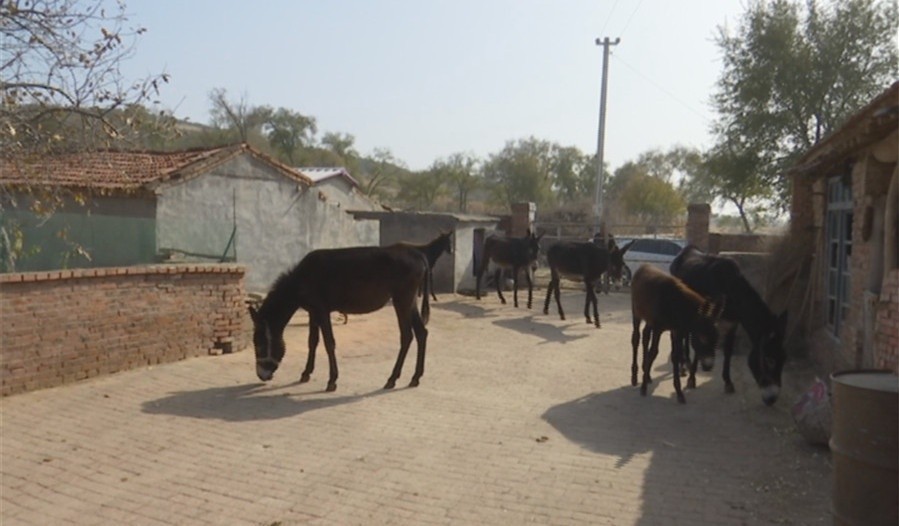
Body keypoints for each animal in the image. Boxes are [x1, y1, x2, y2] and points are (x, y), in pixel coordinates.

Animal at [247, 245, 430, 392]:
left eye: (260, 344)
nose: (261, 375)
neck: (300, 281)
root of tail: (418, 254)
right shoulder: (313, 312)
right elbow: (312, 341)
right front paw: (306, 373)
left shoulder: (322, 311)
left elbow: (329, 343)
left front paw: (332, 381)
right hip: (410, 301)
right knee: (422, 333)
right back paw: (415, 377)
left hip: (402, 299)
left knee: (407, 336)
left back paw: (392, 379)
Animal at [630, 264, 724, 404]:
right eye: (702, 338)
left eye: (716, 338)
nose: (708, 367)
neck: (676, 305)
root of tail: (644, 265)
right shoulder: (658, 328)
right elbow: (654, 353)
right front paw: (643, 387)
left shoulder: (677, 330)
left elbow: (675, 355)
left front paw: (679, 392)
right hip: (636, 312)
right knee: (636, 338)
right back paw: (635, 377)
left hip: (649, 320)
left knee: (645, 336)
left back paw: (647, 373)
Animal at [670, 245, 787, 406]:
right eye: (769, 360)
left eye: (784, 359)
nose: (772, 399)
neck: (729, 287)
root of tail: (686, 249)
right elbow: (699, 346)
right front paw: (692, 379)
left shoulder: (732, 324)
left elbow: (728, 351)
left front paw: (728, 382)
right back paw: (682, 364)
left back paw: (685, 363)